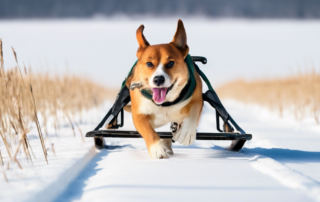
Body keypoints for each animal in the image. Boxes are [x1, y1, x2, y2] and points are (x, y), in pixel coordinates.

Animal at [124, 19, 202, 159]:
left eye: (171, 63)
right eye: (149, 64)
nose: (158, 79)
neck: (165, 103)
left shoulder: (198, 97)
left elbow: (194, 110)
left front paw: (187, 133)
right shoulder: (138, 114)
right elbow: (148, 131)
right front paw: (157, 149)